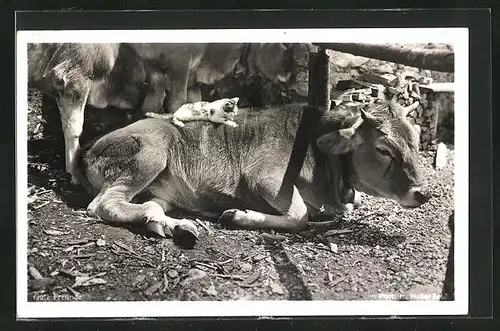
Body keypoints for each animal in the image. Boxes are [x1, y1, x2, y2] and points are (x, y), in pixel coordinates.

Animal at [79, 102, 430, 246]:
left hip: (160, 190)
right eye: (384, 149)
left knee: (149, 205)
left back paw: (174, 226)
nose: (423, 193)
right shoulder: (267, 179)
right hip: (151, 154)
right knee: (104, 205)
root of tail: (90, 150)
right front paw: (237, 215)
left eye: (415, 139)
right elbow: (299, 215)